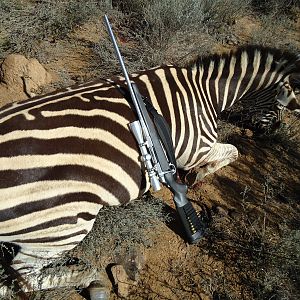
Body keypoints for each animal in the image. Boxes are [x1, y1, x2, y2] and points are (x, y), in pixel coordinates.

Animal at [0, 45, 298, 298]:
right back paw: (90, 277)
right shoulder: (197, 148)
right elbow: (233, 151)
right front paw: (198, 175)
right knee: (23, 280)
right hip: (64, 226)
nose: (274, 132)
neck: (207, 91)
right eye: (280, 107)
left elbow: (232, 152)